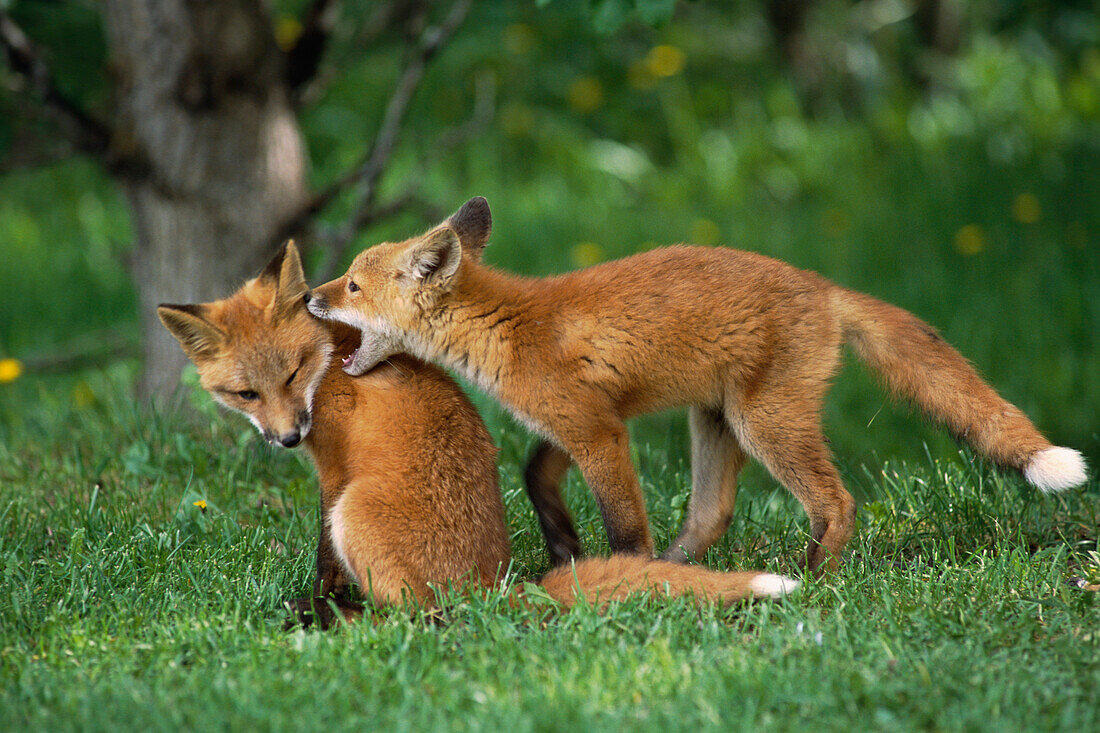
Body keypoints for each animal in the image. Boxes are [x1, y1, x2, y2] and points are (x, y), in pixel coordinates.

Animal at [157, 241, 800, 629]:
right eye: (246, 394)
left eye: (292, 373)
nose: (288, 437)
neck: (330, 366)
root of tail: (487, 589)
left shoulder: (334, 476)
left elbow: (324, 560)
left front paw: (322, 604)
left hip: (356, 513)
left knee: (419, 620)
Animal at [305, 195, 1086, 572]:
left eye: (350, 284)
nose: (309, 298)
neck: (503, 324)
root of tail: (824, 287)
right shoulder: (576, 423)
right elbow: (535, 476)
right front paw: (564, 547)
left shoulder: (598, 431)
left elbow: (625, 523)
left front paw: (621, 572)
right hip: (716, 421)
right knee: (712, 513)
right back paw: (689, 570)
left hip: (765, 423)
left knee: (836, 503)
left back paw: (814, 579)